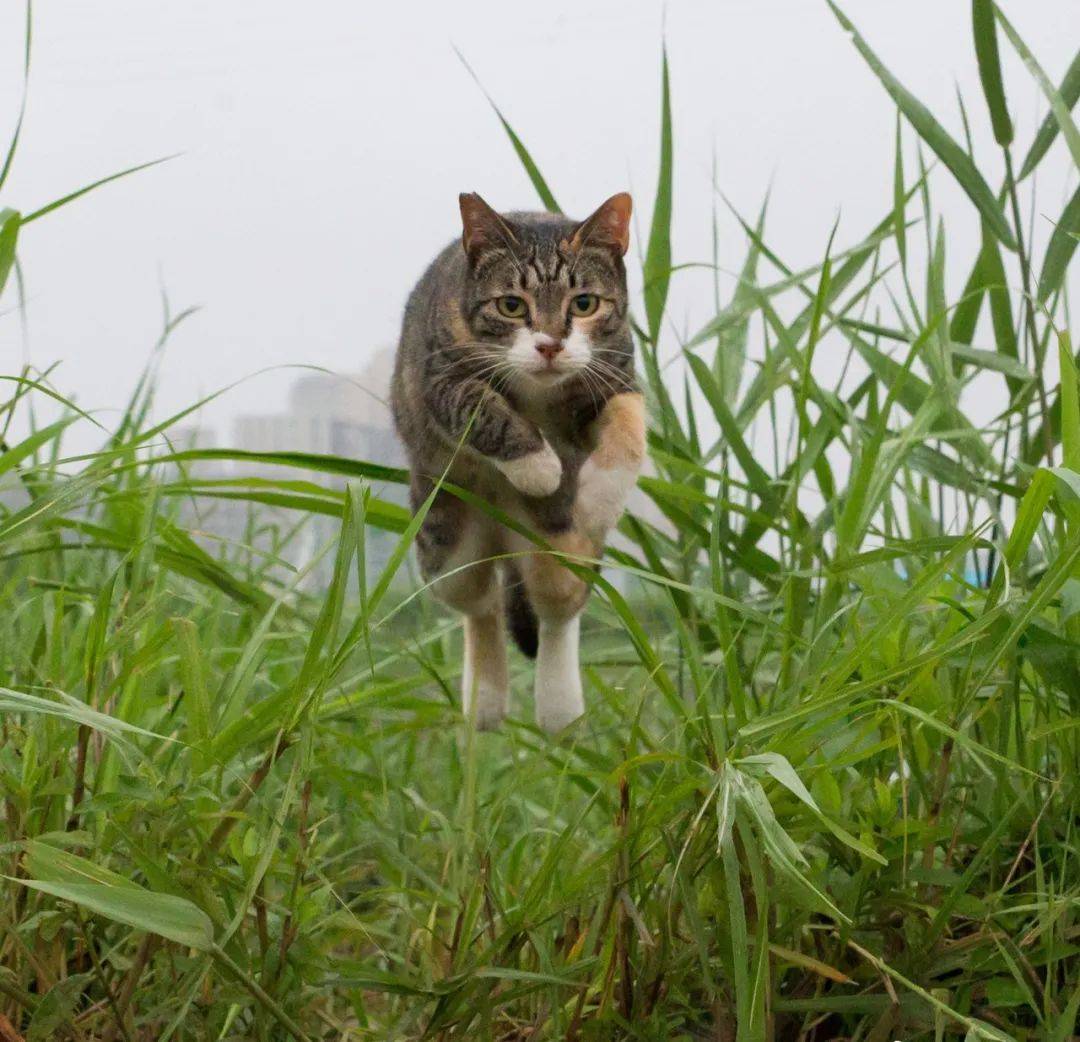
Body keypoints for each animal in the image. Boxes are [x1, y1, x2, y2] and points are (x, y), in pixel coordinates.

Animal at [393, 193, 643, 729]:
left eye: (585, 303)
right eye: (511, 305)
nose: (549, 345)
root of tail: (502, 538)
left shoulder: (616, 373)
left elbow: (630, 426)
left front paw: (601, 494)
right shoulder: (439, 375)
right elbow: (483, 409)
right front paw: (538, 466)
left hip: (556, 543)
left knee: (559, 605)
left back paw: (559, 709)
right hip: (444, 536)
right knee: (479, 604)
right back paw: (484, 703)